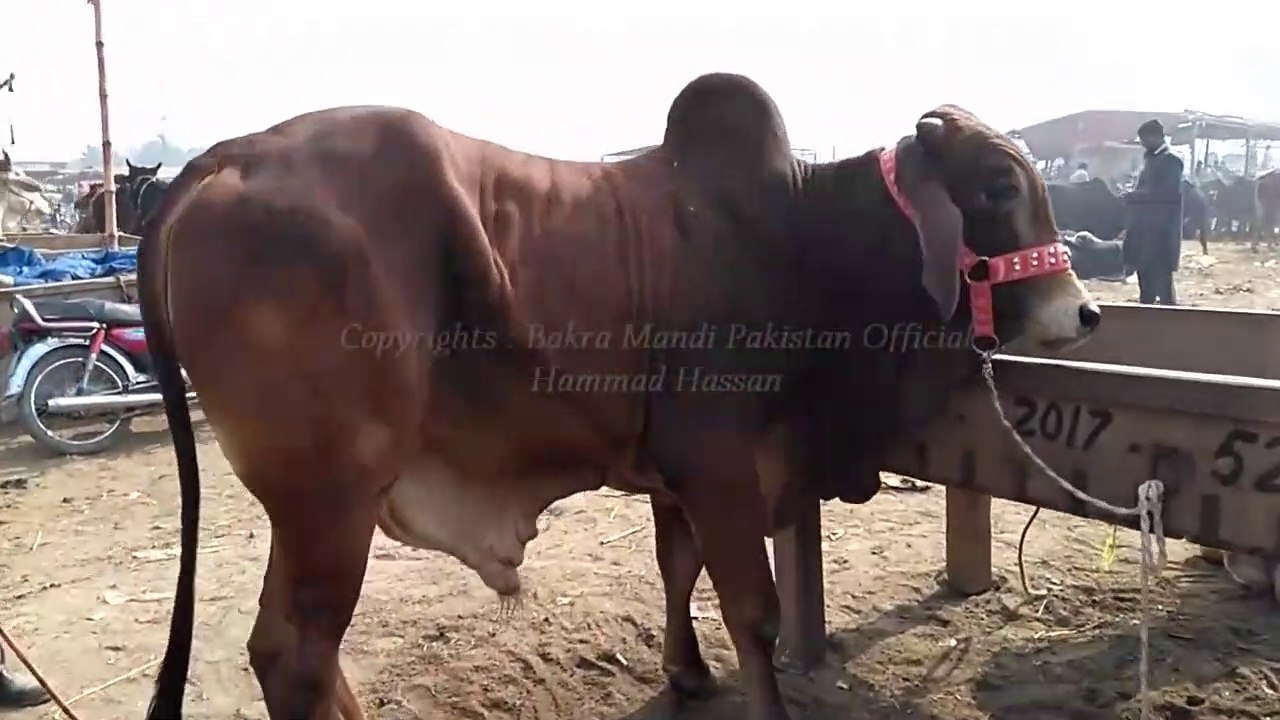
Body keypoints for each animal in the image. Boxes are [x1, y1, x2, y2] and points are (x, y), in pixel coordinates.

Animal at [137, 73, 1098, 720]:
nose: (1084, 311)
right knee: (294, 652)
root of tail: (228, 158)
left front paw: (687, 674)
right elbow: (753, 609)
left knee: (302, 651)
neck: (797, 236)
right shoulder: (722, 463)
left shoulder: (675, 471)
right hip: (328, 496)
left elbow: (679, 569)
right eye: (1000, 184)